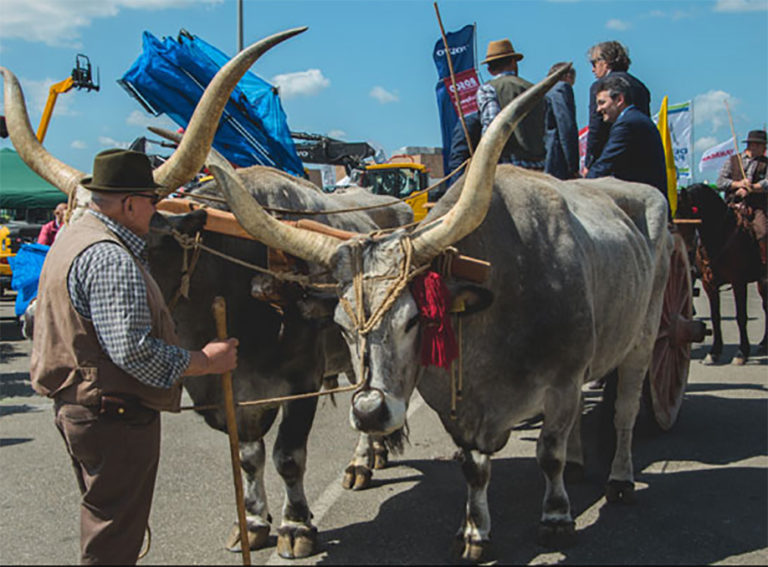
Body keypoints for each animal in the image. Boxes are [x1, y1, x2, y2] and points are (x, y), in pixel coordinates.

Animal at [680, 184, 768, 366]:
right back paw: (764, 343)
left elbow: (741, 317)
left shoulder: (738, 282)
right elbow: (715, 317)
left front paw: (742, 352)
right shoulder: (709, 284)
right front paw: (714, 352)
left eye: (685, 214)